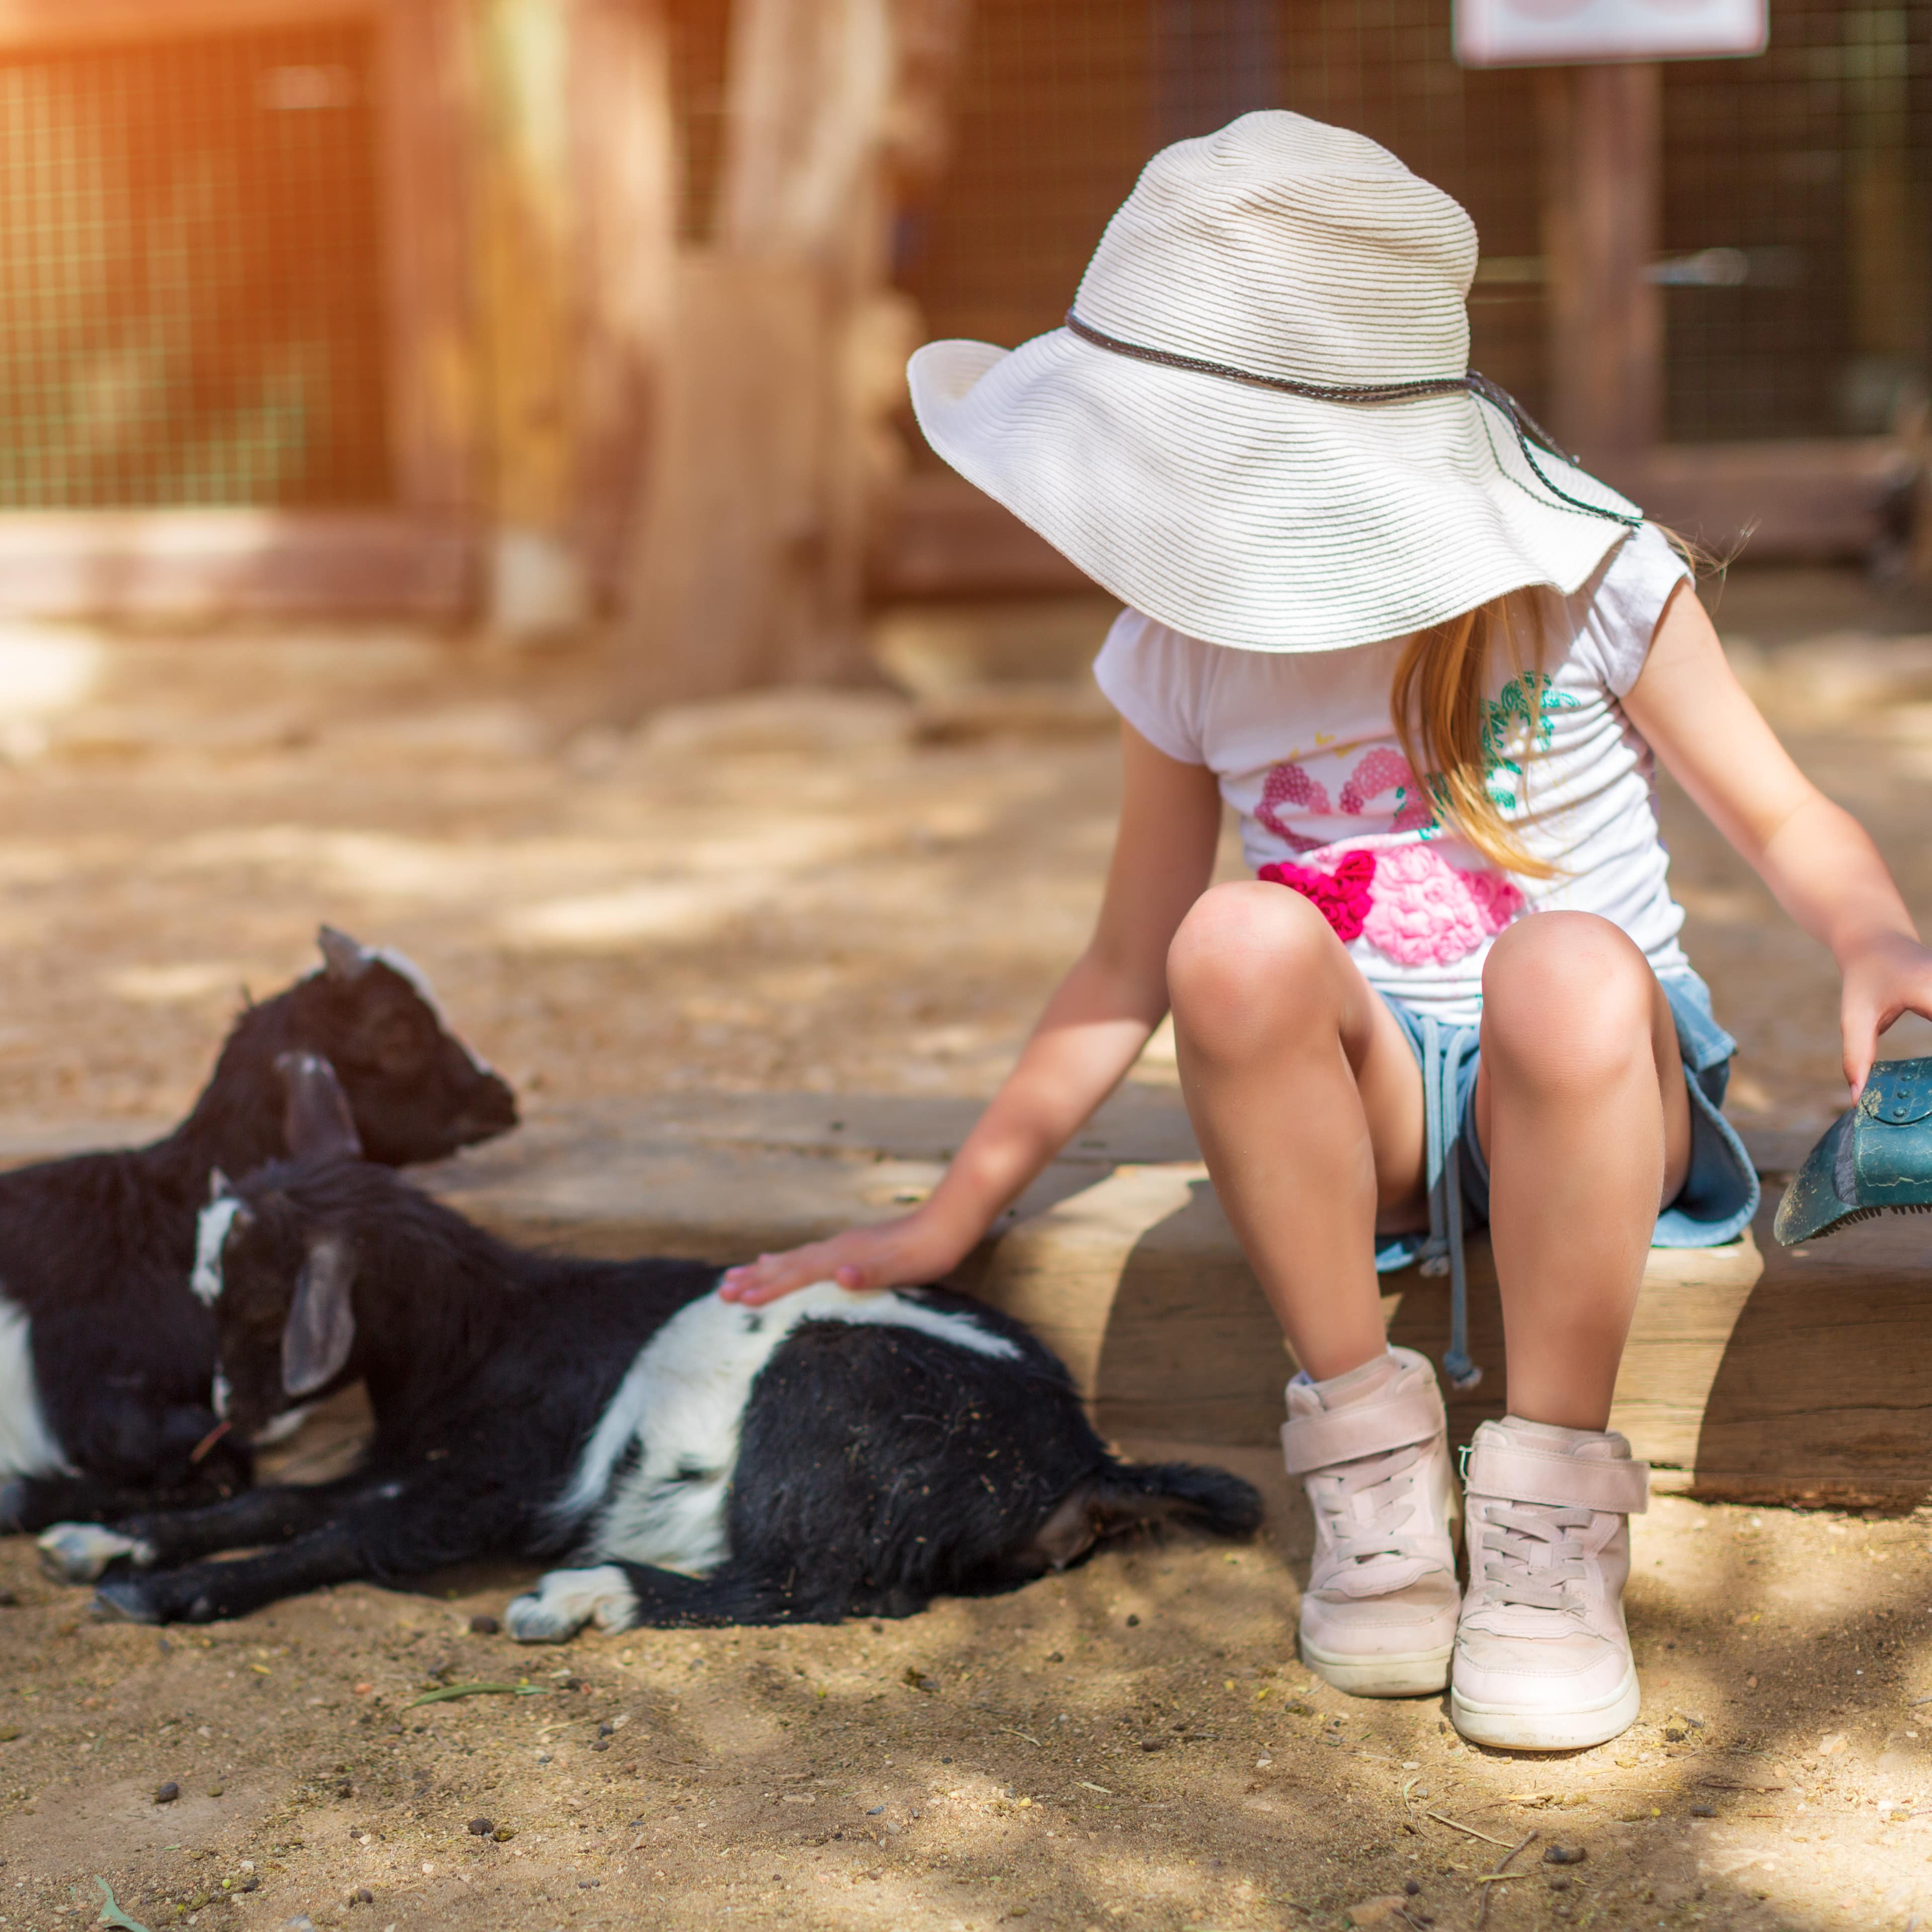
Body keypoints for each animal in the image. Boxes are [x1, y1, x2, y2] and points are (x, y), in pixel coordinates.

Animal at [41, 1128, 1267, 1638]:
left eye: (253, 1304)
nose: (225, 1415)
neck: (488, 1335)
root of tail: (1083, 1464)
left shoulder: (485, 1486)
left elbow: (340, 1540)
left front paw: (163, 1594)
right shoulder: (411, 1458)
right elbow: (281, 1503)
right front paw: (109, 1538)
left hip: (822, 1397)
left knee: (819, 1591)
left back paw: (589, 1596)